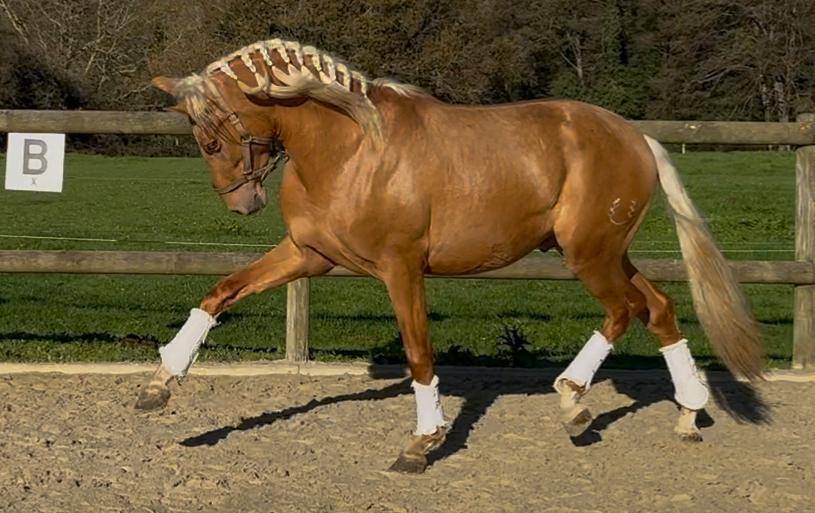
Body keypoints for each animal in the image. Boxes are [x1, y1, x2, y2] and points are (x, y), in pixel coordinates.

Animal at [137, 38, 764, 473]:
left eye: (213, 135)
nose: (241, 203)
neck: (350, 149)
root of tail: (637, 138)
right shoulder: (307, 255)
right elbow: (220, 292)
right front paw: (159, 385)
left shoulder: (401, 268)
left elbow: (419, 353)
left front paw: (422, 442)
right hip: (604, 252)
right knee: (657, 307)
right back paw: (686, 414)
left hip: (590, 255)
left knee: (624, 310)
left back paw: (574, 402)